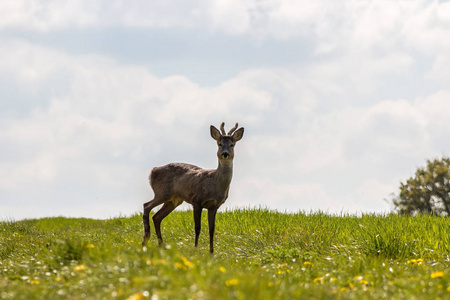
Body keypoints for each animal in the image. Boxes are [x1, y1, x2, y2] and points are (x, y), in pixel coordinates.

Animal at [142, 122, 244, 253]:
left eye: (232, 145)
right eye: (219, 144)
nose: (225, 154)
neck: (215, 184)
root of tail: (152, 171)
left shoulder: (215, 206)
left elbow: (212, 229)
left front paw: (211, 252)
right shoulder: (197, 200)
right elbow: (197, 227)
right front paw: (196, 248)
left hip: (174, 200)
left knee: (156, 217)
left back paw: (161, 245)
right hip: (162, 193)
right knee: (146, 205)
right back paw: (145, 240)